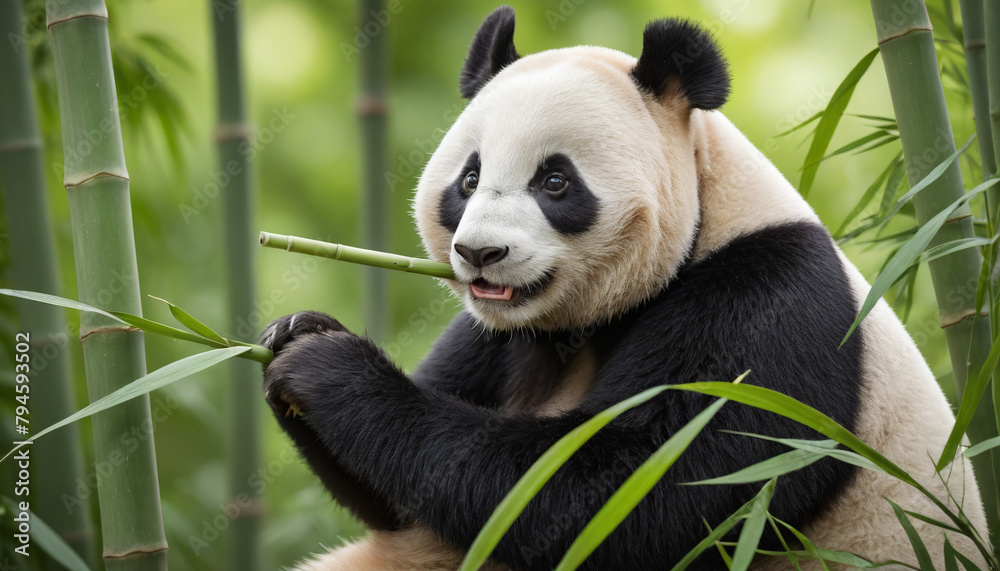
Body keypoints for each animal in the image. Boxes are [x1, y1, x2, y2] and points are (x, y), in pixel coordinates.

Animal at [259, 7, 989, 570]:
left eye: (555, 181)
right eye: (468, 178)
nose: (480, 254)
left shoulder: (771, 302)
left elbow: (619, 493)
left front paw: (330, 368)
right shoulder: (501, 336)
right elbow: (396, 500)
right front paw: (294, 334)